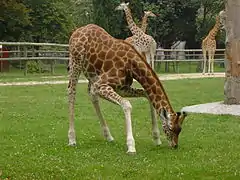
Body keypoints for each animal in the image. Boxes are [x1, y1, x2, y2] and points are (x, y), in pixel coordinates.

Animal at [67, 23, 188, 154]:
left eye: (180, 129)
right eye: (170, 128)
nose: (175, 145)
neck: (131, 66)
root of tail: (77, 31)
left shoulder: (122, 88)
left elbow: (147, 95)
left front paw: (156, 138)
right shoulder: (100, 85)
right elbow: (127, 104)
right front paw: (131, 146)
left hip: (91, 74)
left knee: (91, 95)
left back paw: (108, 136)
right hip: (76, 62)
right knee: (71, 92)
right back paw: (72, 139)